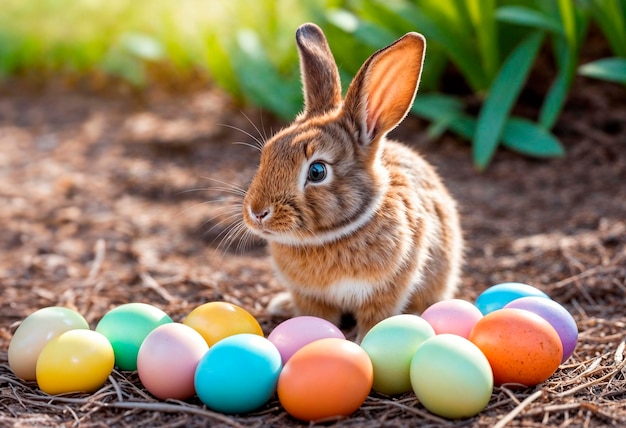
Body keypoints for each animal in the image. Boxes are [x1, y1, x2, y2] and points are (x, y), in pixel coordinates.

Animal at [241, 23, 460, 342]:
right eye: (267, 152)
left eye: (317, 171)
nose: (257, 213)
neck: (331, 237)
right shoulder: (310, 296)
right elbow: (315, 317)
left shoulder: (386, 291)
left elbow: (375, 321)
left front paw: (361, 343)